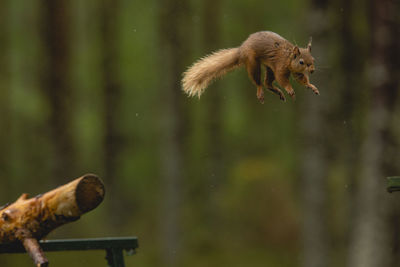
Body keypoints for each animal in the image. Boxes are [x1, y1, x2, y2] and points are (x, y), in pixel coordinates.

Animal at [181, 30, 318, 103]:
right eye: (301, 62)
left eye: (313, 60)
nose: (312, 70)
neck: (288, 58)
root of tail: (241, 50)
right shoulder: (280, 66)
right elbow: (282, 79)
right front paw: (289, 89)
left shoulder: (297, 72)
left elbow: (302, 80)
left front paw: (311, 86)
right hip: (253, 63)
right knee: (259, 82)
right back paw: (261, 92)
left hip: (269, 68)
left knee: (267, 83)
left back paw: (278, 92)